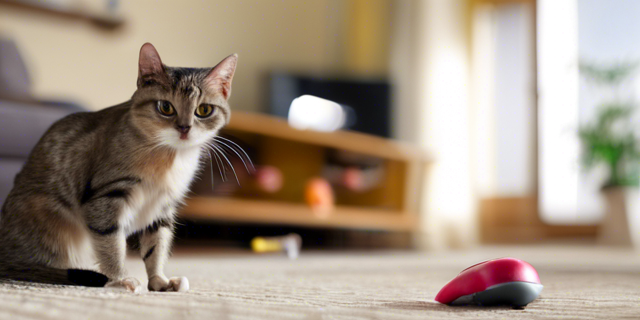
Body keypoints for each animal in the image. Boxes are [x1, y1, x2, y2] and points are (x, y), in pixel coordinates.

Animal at [0, 43, 238, 292]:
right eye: (165, 107)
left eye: (204, 110)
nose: (184, 128)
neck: (169, 158)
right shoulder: (107, 198)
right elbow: (111, 244)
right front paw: (120, 279)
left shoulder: (161, 208)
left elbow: (156, 247)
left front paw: (159, 281)